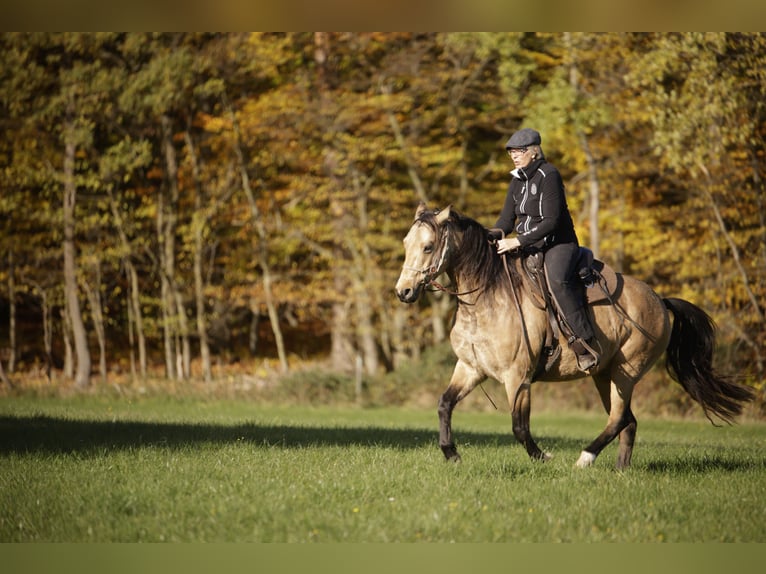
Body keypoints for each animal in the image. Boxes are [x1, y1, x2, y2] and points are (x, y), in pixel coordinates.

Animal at [395, 203, 754, 468]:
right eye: (406, 244)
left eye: (428, 246)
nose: (404, 291)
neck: (487, 296)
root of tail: (659, 300)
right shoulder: (471, 368)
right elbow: (444, 404)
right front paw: (451, 453)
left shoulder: (518, 376)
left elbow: (519, 425)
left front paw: (543, 457)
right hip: (604, 374)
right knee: (627, 421)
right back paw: (620, 469)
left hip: (626, 371)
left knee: (618, 418)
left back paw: (585, 458)